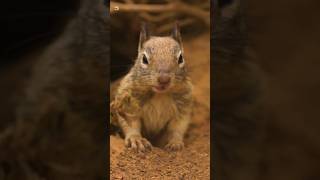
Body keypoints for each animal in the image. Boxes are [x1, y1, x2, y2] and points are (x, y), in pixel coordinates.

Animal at [110, 22, 192, 152]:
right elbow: (131, 124)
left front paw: (175, 142)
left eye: (181, 58)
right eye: (144, 59)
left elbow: (177, 128)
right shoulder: (127, 104)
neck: (160, 94)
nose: (164, 80)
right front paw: (136, 139)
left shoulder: (183, 108)